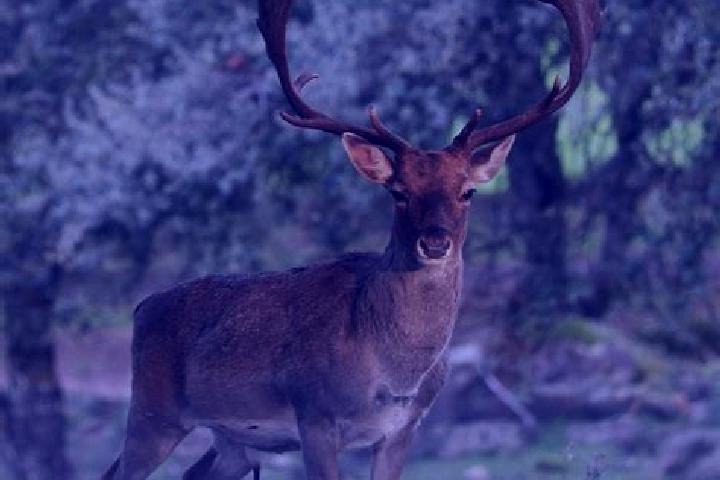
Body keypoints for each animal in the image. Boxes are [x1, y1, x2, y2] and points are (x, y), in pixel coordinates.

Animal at [102, 0, 600, 479]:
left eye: (468, 191)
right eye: (398, 191)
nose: (434, 243)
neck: (392, 376)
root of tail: (142, 307)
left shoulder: (404, 429)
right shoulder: (314, 416)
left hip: (234, 441)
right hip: (153, 412)